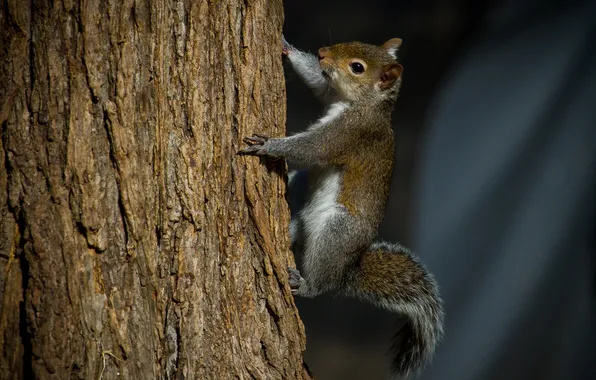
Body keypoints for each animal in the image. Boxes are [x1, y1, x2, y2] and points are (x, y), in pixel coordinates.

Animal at [237, 36, 442, 380]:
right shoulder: (328, 91)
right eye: (353, 44)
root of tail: (348, 270)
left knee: (322, 283)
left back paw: (305, 284)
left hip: (337, 232)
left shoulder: (349, 134)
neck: (361, 104)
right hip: (302, 220)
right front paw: (287, 47)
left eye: (357, 67)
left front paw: (269, 145)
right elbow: (317, 80)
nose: (322, 53)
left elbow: (310, 149)